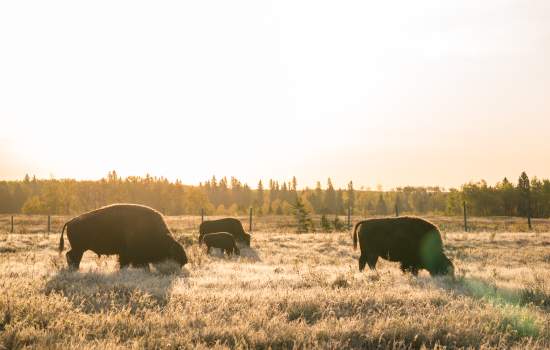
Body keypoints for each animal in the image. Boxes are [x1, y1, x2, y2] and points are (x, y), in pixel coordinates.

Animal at [57, 204, 189, 270]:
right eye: (174, 255)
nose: (185, 261)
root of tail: (70, 221)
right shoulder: (129, 255)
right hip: (79, 248)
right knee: (72, 256)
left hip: (79, 248)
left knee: (70, 255)